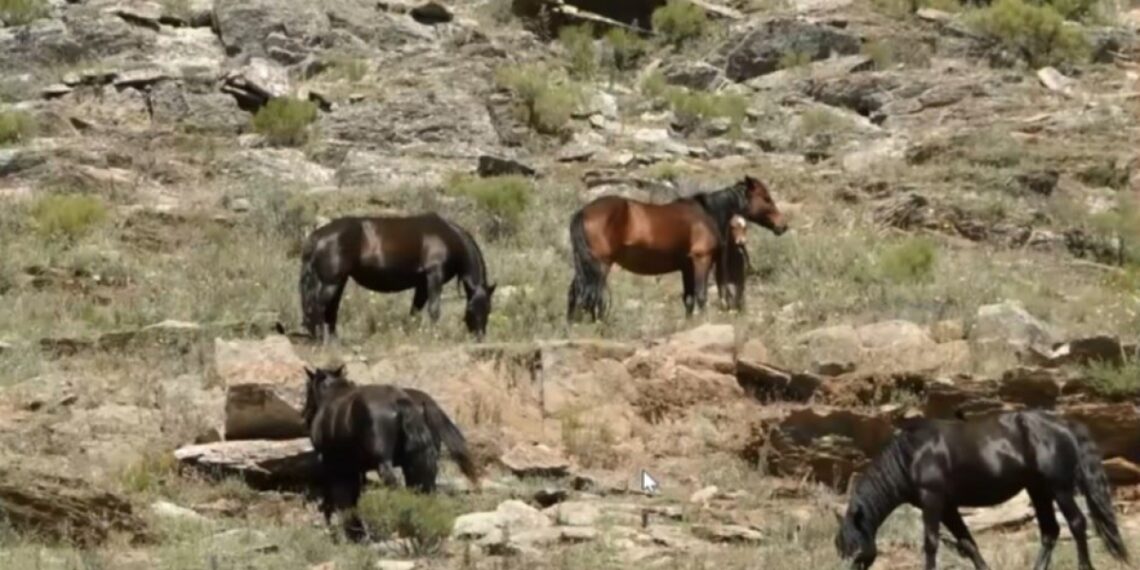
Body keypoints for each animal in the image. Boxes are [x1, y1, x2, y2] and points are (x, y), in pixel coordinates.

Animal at [299, 213, 496, 343]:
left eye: (489, 310)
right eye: (471, 308)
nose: (479, 337)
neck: (448, 237)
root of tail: (317, 236)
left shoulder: (421, 284)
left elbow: (415, 311)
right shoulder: (434, 276)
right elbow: (434, 310)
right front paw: (434, 336)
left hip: (339, 281)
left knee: (331, 309)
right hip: (330, 282)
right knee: (317, 308)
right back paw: (320, 340)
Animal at [301, 365, 480, 542]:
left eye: (307, 388)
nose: (305, 415)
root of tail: (401, 401)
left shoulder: (336, 467)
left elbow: (343, 497)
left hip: (385, 464)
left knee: (396, 488)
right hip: (422, 461)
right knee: (424, 490)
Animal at [565, 175, 786, 322]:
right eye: (766, 198)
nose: (782, 225)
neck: (707, 214)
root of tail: (584, 212)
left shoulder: (686, 267)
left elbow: (688, 299)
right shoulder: (701, 260)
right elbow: (701, 296)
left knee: (576, 292)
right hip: (600, 265)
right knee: (592, 295)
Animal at [834, 410, 1129, 570]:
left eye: (852, 546)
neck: (911, 456)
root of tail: (1065, 424)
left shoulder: (933, 500)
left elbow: (930, 543)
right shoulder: (948, 507)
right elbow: (968, 544)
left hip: (1059, 488)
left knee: (1077, 523)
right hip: (1038, 489)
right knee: (1050, 532)